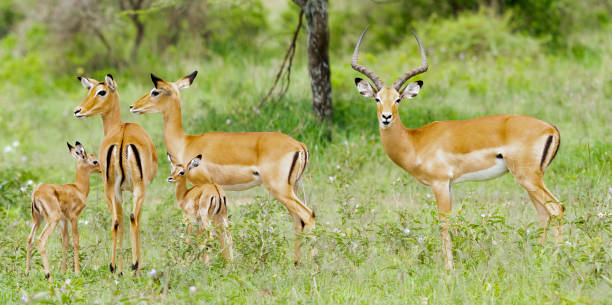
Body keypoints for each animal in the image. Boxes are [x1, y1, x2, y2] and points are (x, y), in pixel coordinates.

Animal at [26, 141, 100, 280]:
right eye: (94, 161)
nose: (102, 169)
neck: (78, 189)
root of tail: (36, 193)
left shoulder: (63, 220)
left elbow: (65, 241)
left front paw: (64, 271)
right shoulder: (73, 217)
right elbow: (76, 240)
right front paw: (77, 272)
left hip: (38, 220)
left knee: (30, 239)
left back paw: (27, 273)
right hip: (51, 220)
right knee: (41, 240)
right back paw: (48, 275)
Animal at [352, 26, 568, 268]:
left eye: (398, 99)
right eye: (377, 99)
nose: (386, 117)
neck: (415, 140)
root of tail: (550, 128)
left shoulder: (439, 182)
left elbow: (444, 222)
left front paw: (449, 267)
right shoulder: (449, 185)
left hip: (528, 178)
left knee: (557, 209)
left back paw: (556, 258)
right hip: (531, 181)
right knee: (544, 213)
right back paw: (538, 258)